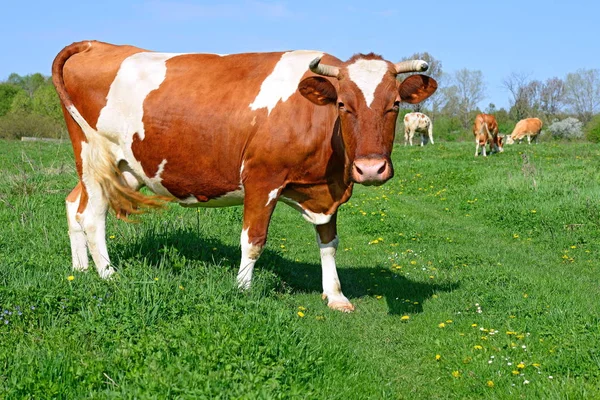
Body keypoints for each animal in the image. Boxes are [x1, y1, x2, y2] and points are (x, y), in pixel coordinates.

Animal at [51, 39, 436, 312]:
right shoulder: (262, 179)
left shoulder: (327, 191)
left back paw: (80, 270)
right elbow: (253, 240)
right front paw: (242, 290)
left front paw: (335, 295)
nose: (370, 168)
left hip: (122, 168)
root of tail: (96, 44)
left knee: (73, 205)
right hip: (93, 156)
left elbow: (329, 242)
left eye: (395, 105)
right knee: (92, 216)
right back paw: (108, 275)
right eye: (343, 104)